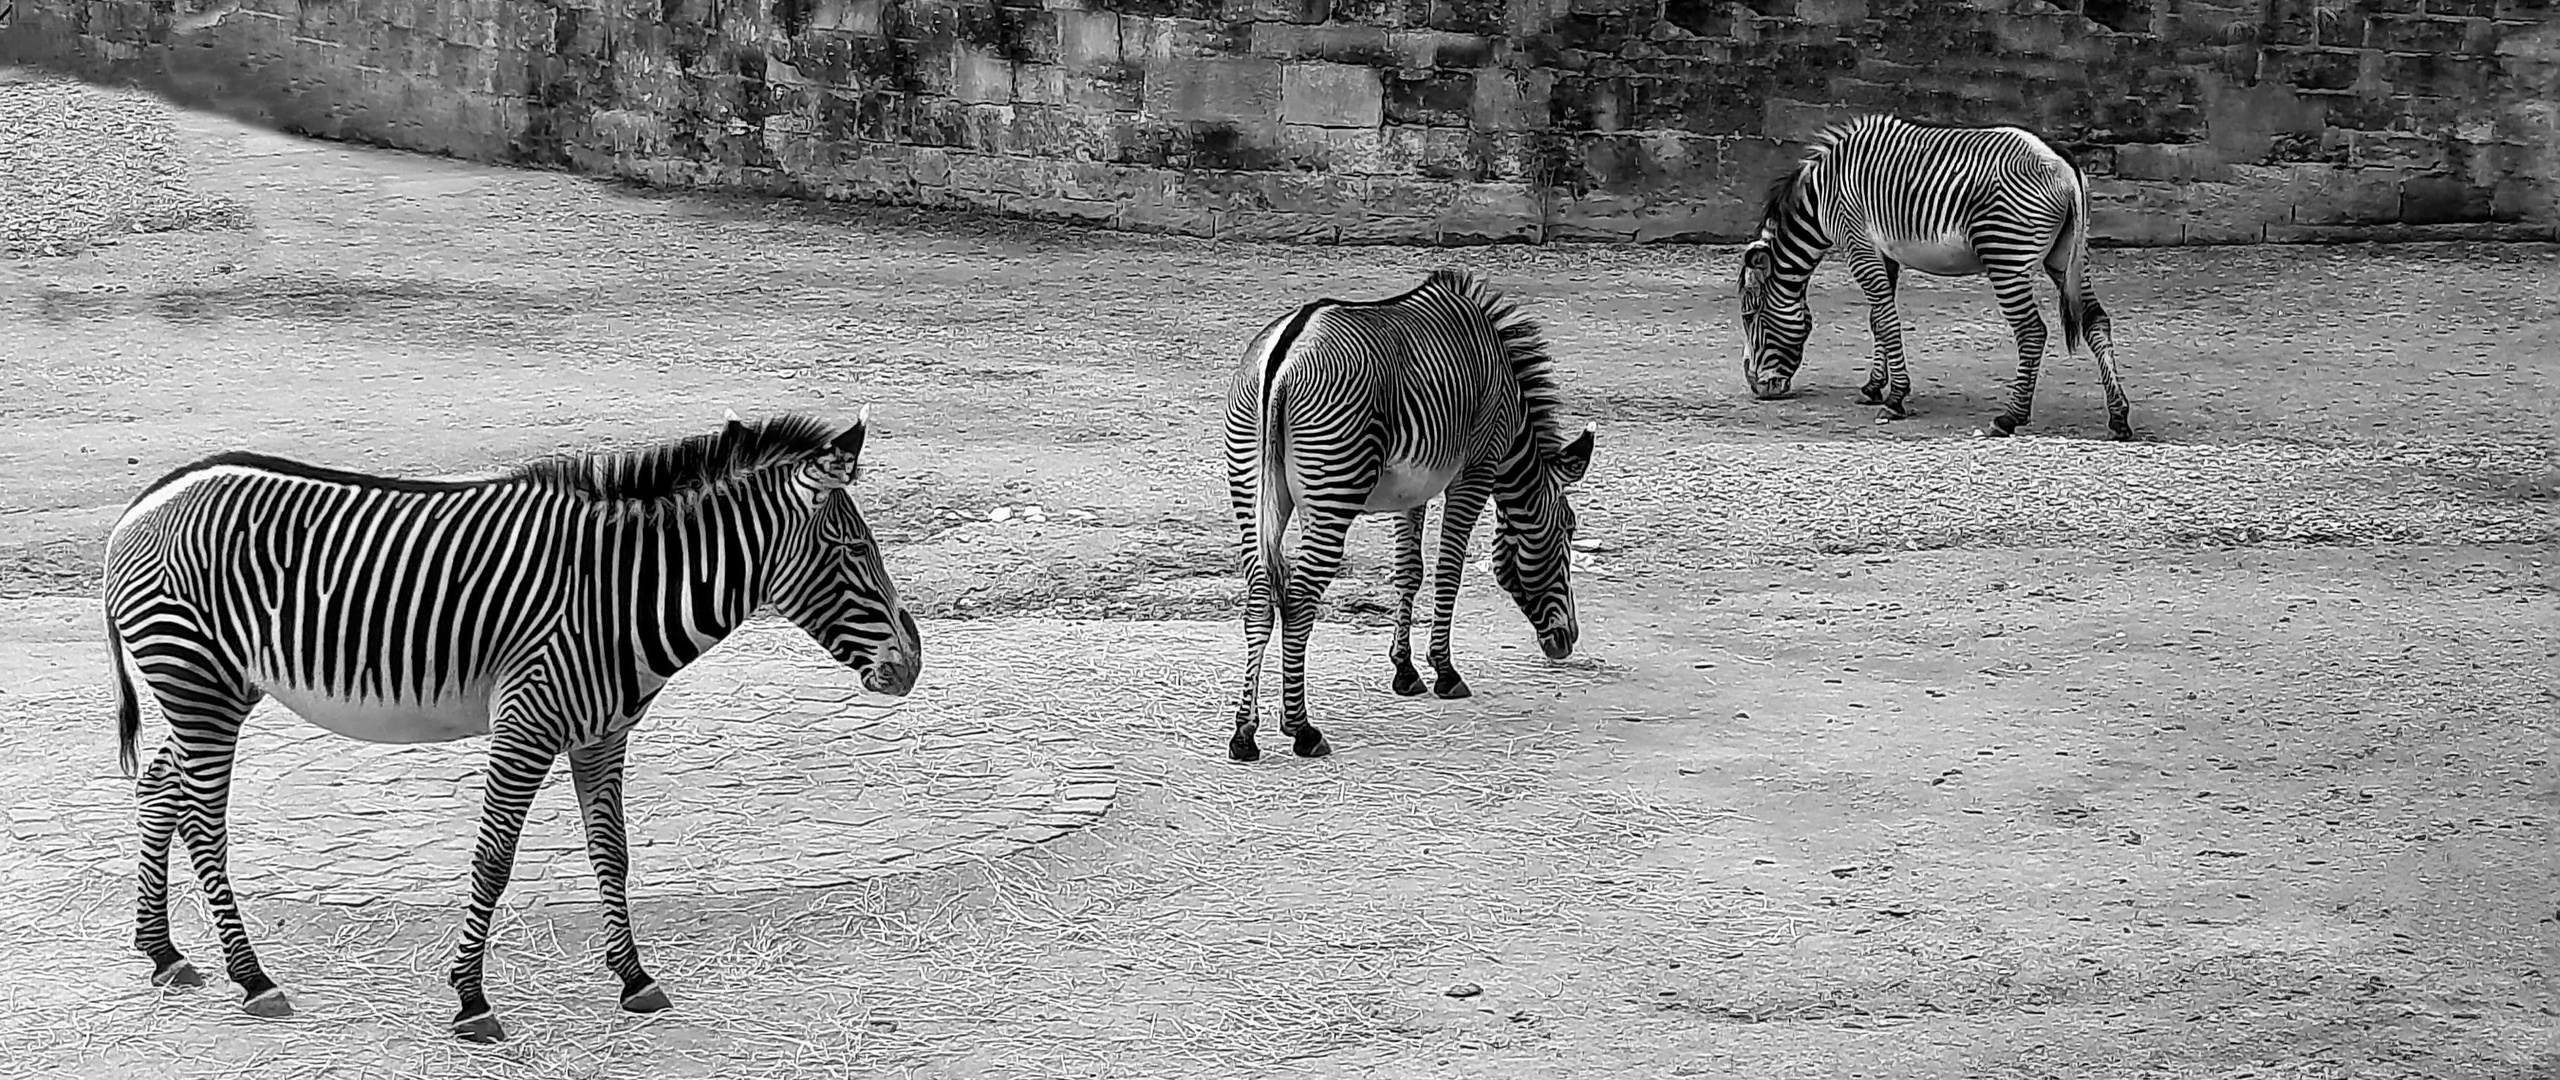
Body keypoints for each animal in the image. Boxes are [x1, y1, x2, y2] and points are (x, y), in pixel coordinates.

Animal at [112, 409, 931, 1044]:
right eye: (853, 550)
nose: (912, 663)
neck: (619, 593)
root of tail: (144, 501)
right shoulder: (526, 723)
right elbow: (493, 862)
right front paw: (472, 999)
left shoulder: (603, 732)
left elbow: (613, 854)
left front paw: (634, 977)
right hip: (198, 680)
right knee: (202, 817)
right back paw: (252, 978)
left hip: (217, 688)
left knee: (159, 787)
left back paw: (164, 954)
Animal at [1218, 267, 1597, 762]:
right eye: (1568, 528)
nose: (1567, 640)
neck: (1511, 413)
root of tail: (1283, 352)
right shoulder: (1474, 472)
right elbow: (1448, 571)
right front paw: (1445, 671)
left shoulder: (1411, 489)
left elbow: (1408, 571)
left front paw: (1405, 670)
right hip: (1333, 492)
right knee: (1298, 598)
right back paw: (1302, 729)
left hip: (1254, 490)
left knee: (1261, 597)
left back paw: (1245, 733)